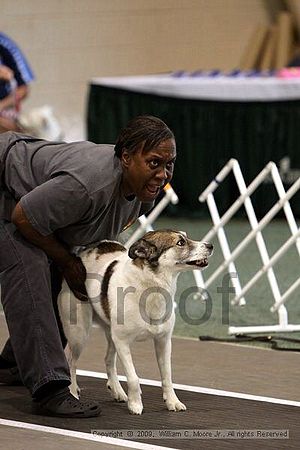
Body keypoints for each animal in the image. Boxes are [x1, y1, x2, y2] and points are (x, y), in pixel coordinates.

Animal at [58, 230, 213, 416]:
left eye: (186, 236)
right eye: (180, 242)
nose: (211, 245)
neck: (151, 286)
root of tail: (81, 253)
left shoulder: (163, 341)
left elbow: (167, 376)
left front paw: (172, 401)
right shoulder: (123, 342)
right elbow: (133, 377)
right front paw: (135, 404)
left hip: (110, 333)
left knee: (108, 359)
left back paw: (117, 391)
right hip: (79, 334)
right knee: (71, 362)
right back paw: (73, 392)